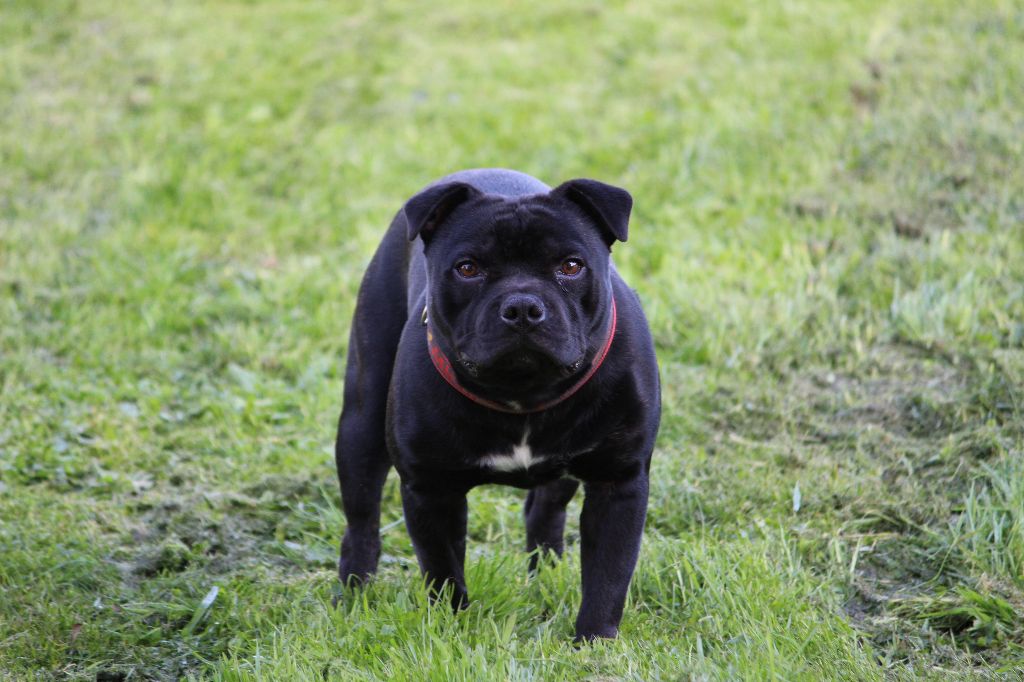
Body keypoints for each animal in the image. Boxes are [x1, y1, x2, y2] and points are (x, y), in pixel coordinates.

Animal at [331, 168, 659, 638]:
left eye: (571, 266)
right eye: (468, 268)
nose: (522, 306)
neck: (524, 392)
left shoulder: (619, 483)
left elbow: (608, 576)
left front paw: (593, 640)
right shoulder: (431, 489)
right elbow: (444, 570)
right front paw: (453, 628)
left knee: (546, 508)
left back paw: (547, 574)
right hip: (361, 419)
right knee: (362, 518)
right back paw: (355, 590)